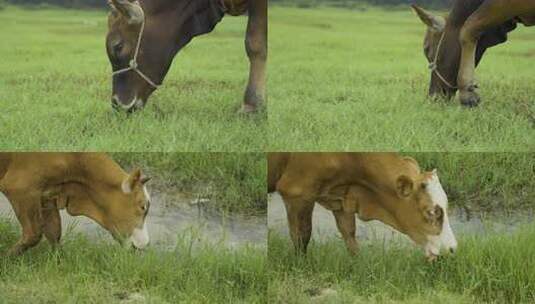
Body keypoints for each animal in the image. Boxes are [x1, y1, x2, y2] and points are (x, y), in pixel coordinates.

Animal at [0, 153, 151, 255]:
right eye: (142, 206)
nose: (145, 244)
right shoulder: (21, 188)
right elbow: (33, 234)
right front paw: (7, 259)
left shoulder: (47, 195)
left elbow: (54, 231)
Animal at [270, 153, 458, 260]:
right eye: (431, 212)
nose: (452, 249)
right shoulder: (296, 191)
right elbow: (302, 236)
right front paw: (300, 265)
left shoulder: (341, 198)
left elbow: (349, 233)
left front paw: (357, 263)